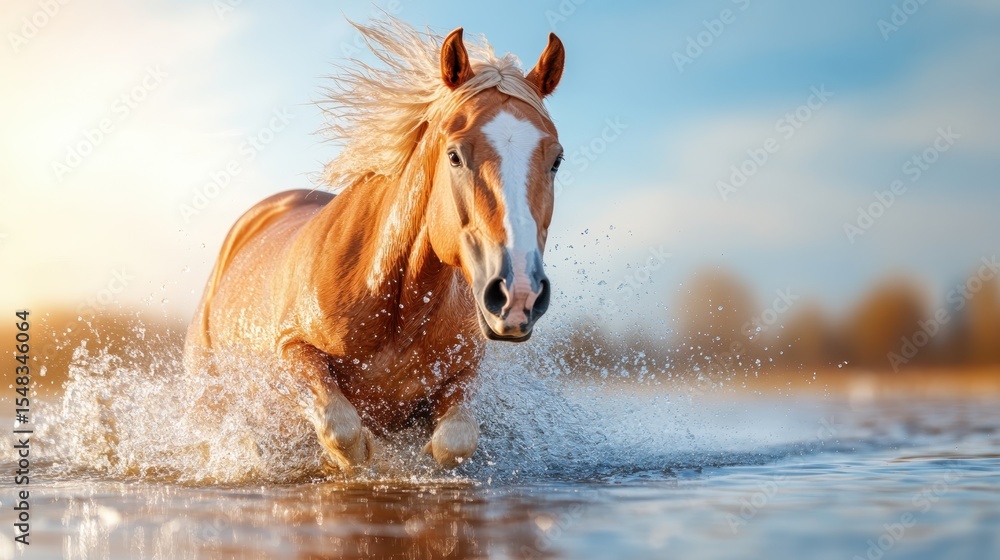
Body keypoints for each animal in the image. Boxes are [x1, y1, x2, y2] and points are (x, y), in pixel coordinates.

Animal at [184, 18, 566, 471]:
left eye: (556, 160)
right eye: (454, 155)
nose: (518, 295)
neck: (392, 305)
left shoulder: (464, 374)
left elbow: (455, 440)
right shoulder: (291, 352)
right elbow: (343, 430)